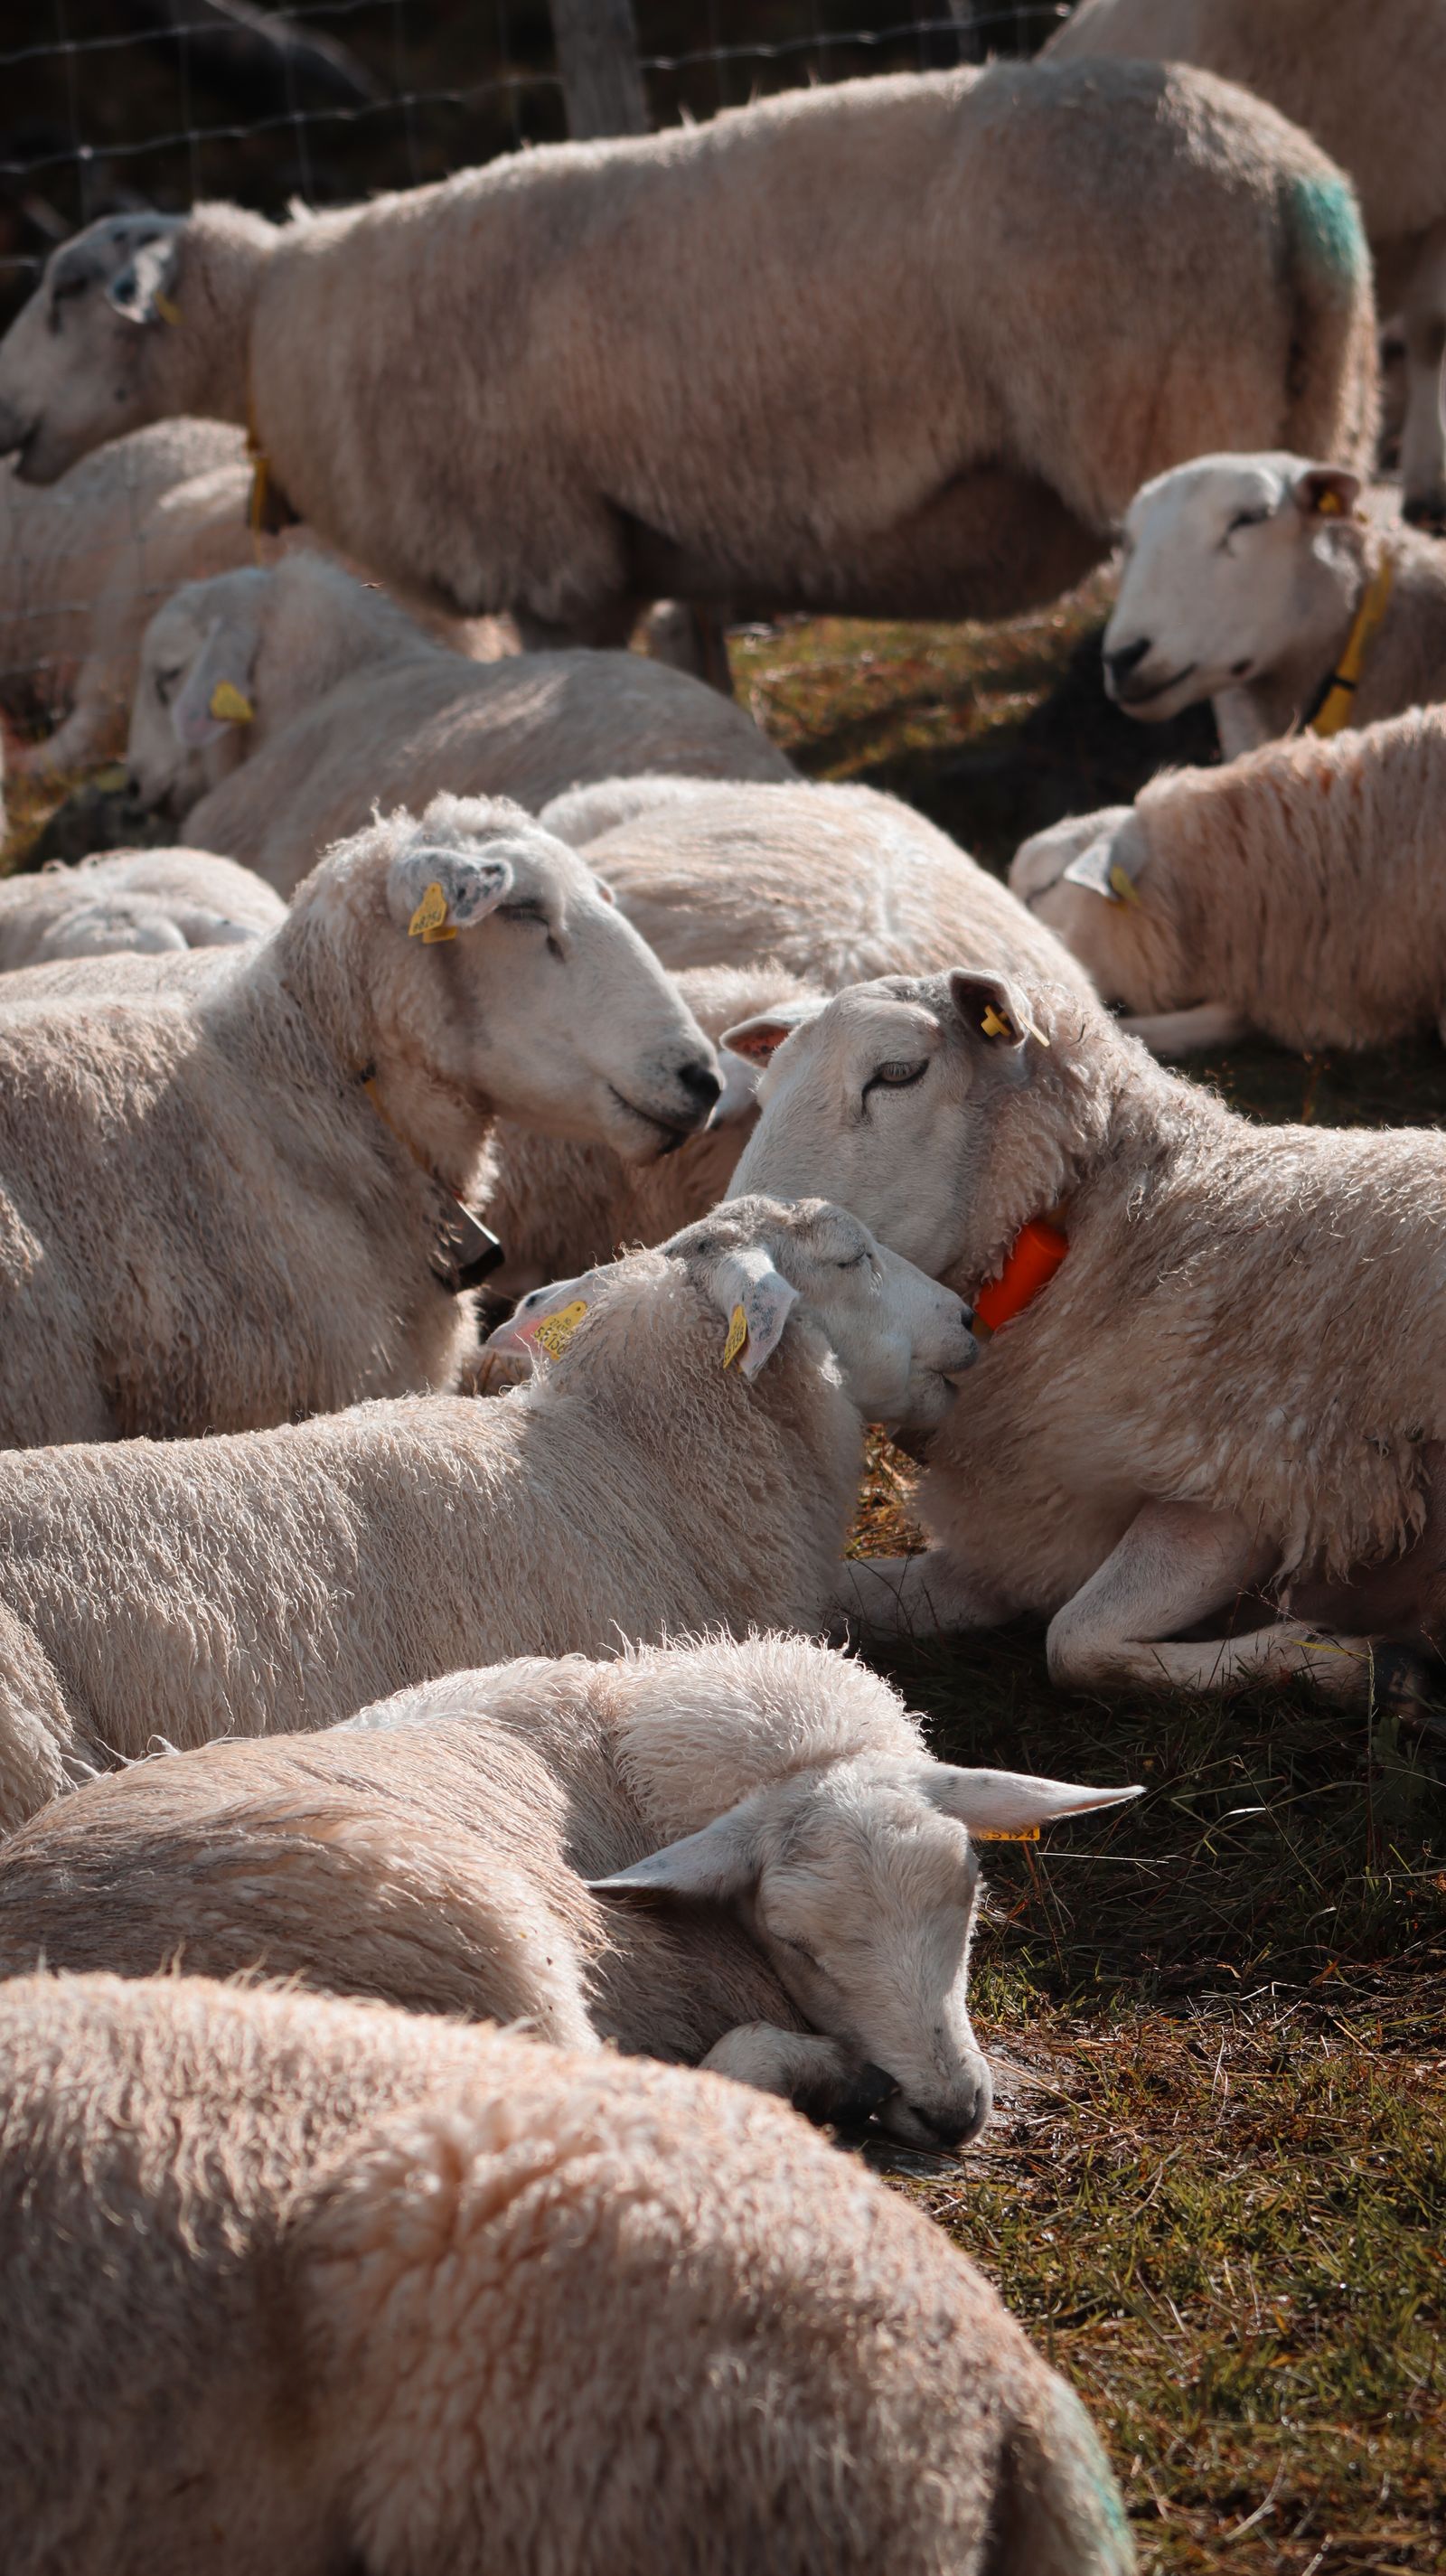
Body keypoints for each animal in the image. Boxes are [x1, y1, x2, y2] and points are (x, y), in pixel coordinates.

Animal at [0, 60, 1376, 664]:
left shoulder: (546, 559)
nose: (5, 415)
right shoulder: (642, 552)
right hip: (1321, 400)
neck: (277, 318)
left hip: (1164, 405)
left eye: (67, 290)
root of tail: (1284, 179)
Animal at [723, 967, 1446, 1699]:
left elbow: (1074, 1640)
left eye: (898, 1073)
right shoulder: (1016, 1548)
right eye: (764, 1091)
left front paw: (1355, 1665)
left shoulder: (1262, 1480)